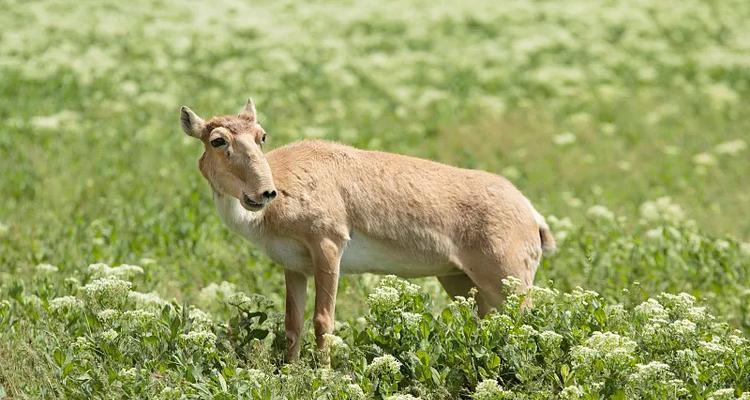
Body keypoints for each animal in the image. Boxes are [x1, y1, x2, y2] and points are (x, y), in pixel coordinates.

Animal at [181, 99, 560, 360]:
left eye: (262, 136)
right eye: (217, 140)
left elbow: (323, 320)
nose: (264, 193)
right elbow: (293, 324)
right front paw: (290, 371)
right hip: (461, 282)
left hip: (509, 284)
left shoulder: (329, 247)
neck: (287, 181)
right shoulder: (294, 266)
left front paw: (322, 377)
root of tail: (531, 214)